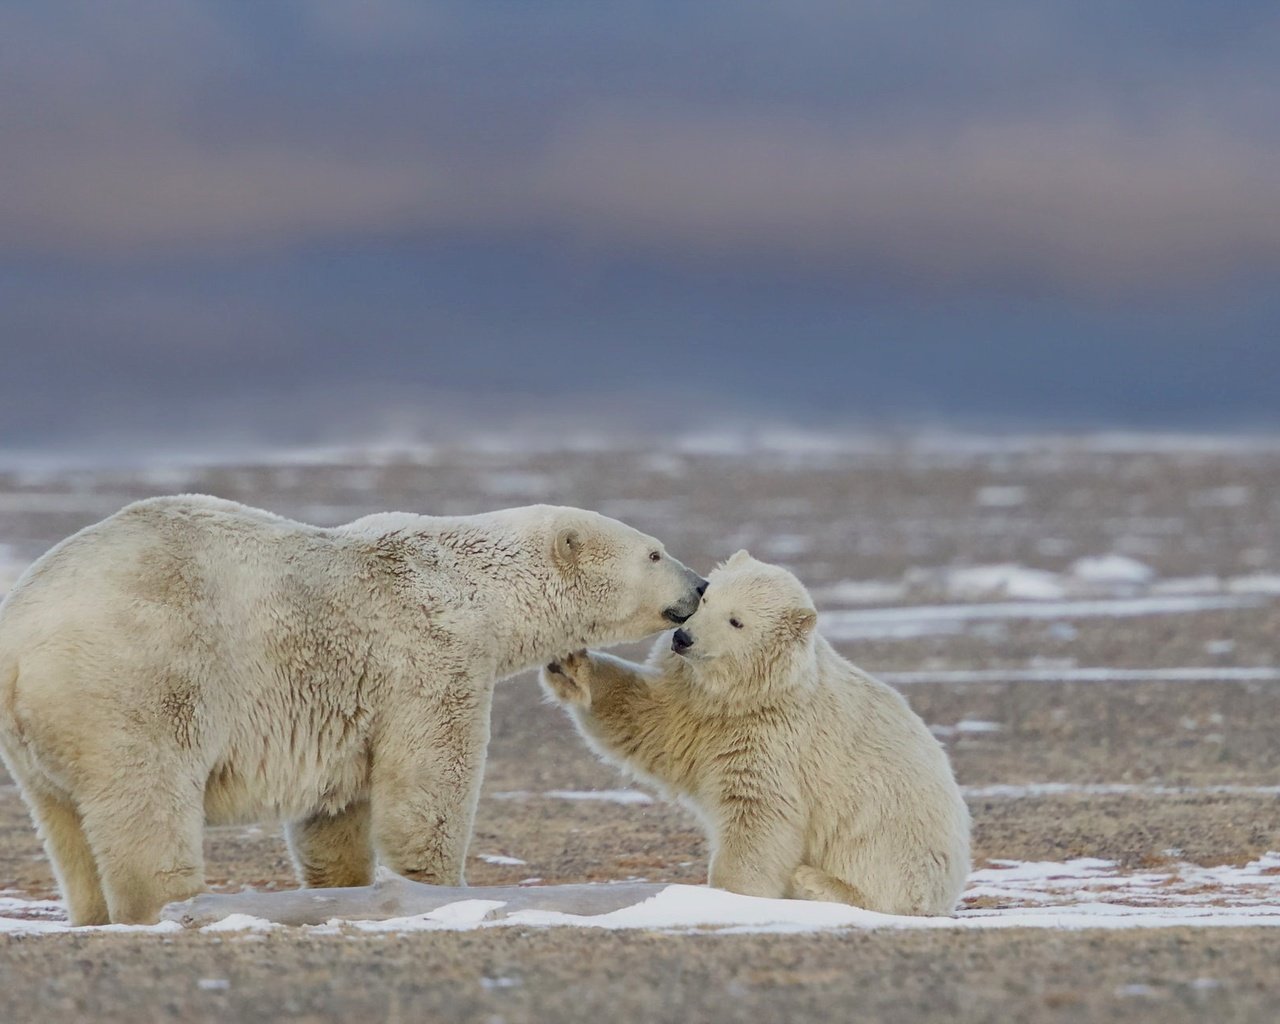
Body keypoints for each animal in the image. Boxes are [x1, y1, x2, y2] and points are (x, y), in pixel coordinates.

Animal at [0, 496, 706, 926]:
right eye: (654, 551)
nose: (699, 585)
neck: (474, 585)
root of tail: (20, 634)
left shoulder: (343, 702)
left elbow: (336, 810)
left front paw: (343, 887)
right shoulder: (430, 653)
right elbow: (428, 785)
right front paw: (436, 889)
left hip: (39, 738)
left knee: (64, 822)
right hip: (134, 681)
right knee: (148, 799)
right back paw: (173, 906)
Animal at [540, 547, 967, 916]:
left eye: (737, 621)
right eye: (707, 597)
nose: (683, 638)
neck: (748, 697)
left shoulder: (776, 737)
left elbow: (758, 814)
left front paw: (728, 895)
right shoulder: (694, 705)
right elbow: (648, 722)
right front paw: (570, 665)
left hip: (892, 835)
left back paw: (813, 883)